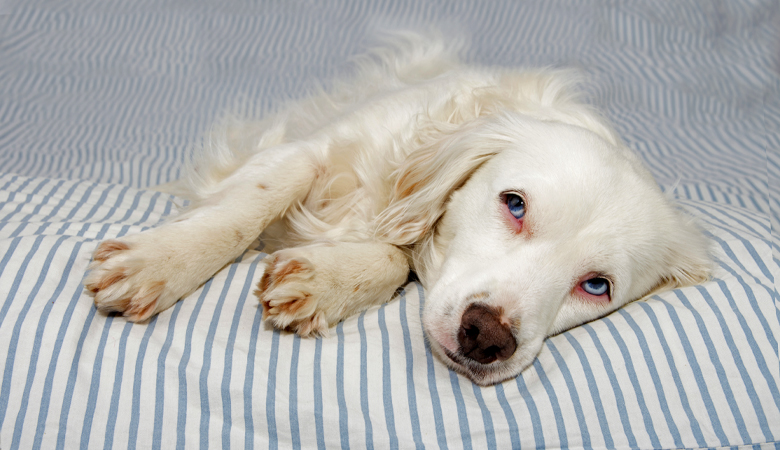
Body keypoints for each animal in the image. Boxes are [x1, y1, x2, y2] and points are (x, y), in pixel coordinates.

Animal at [82, 33, 708, 384]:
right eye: (514, 205)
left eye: (597, 286)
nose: (486, 337)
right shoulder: (305, 150)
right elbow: (246, 209)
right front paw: (159, 262)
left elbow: (392, 258)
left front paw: (324, 281)